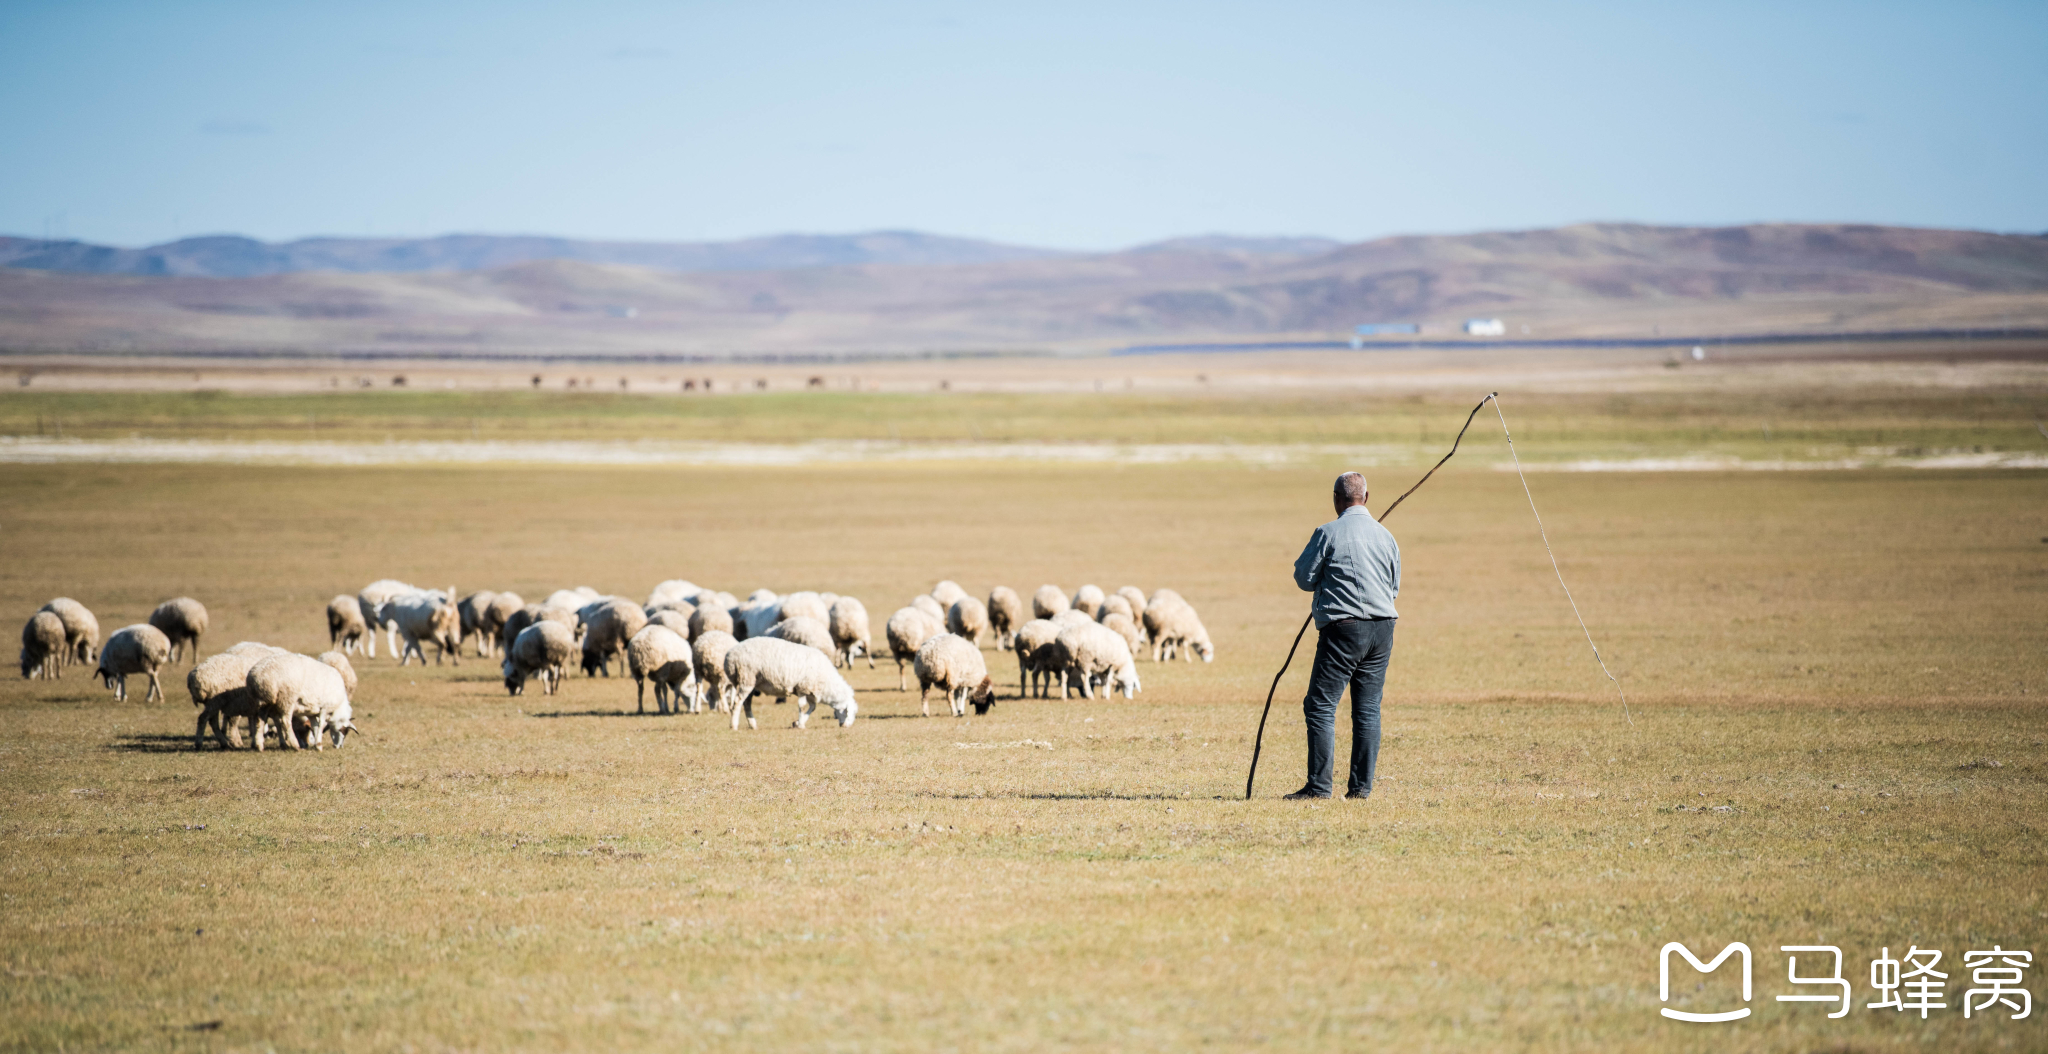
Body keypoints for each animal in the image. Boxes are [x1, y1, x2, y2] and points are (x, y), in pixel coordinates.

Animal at [720, 634, 856, 732]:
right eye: (848, 711)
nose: (846, 726)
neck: (828, 684)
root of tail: (729, 656)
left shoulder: (811, 692)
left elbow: (812, 708)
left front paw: (798, 723)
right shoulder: (803, 688)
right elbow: (802, 706)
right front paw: (800, 724)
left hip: (750, 682)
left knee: (747, 703)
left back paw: (753, 725)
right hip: (746, 677)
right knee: (737, 703)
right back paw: (734, 726)